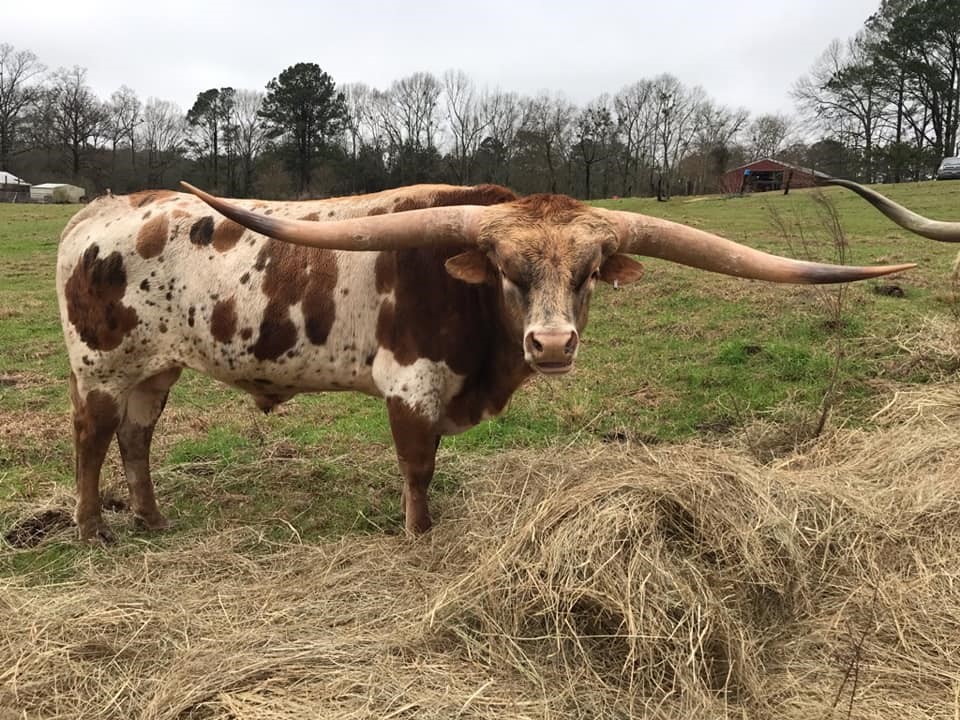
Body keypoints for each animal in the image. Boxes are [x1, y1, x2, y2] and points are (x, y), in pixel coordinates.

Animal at [57, 181, 915, 544]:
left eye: (589, 273)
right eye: (507, 269)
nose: (553, 344)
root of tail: (99, 213)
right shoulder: (410, 382)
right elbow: (418, 468)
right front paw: (420, 537)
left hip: (155, 367)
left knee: (136, 438)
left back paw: (154, 520)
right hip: (99, 368)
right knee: (92, 441)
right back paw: (93, 529)